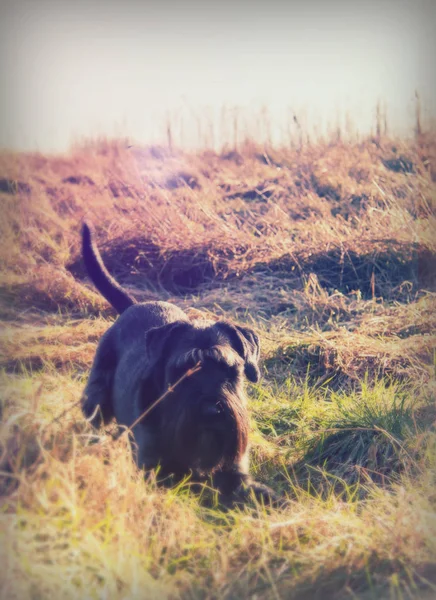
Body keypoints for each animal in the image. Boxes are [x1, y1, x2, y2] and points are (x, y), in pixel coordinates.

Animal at [81, 223, 276, 504]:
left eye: (231, 370)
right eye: (182, 370)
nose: (211, 411)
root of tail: (133, 306)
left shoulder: (234, 471)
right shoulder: (155, 471)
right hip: (96, 396)